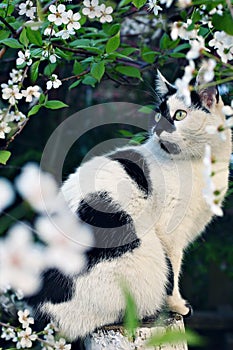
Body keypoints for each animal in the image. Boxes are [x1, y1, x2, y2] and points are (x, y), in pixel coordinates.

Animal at [30, 68, 231, 342]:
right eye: (158, 115)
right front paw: (177, 305)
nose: (158, 129)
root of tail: (46, 315)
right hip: (144, 258)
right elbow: (174, 271)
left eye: (179, 114)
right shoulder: (170, 233)